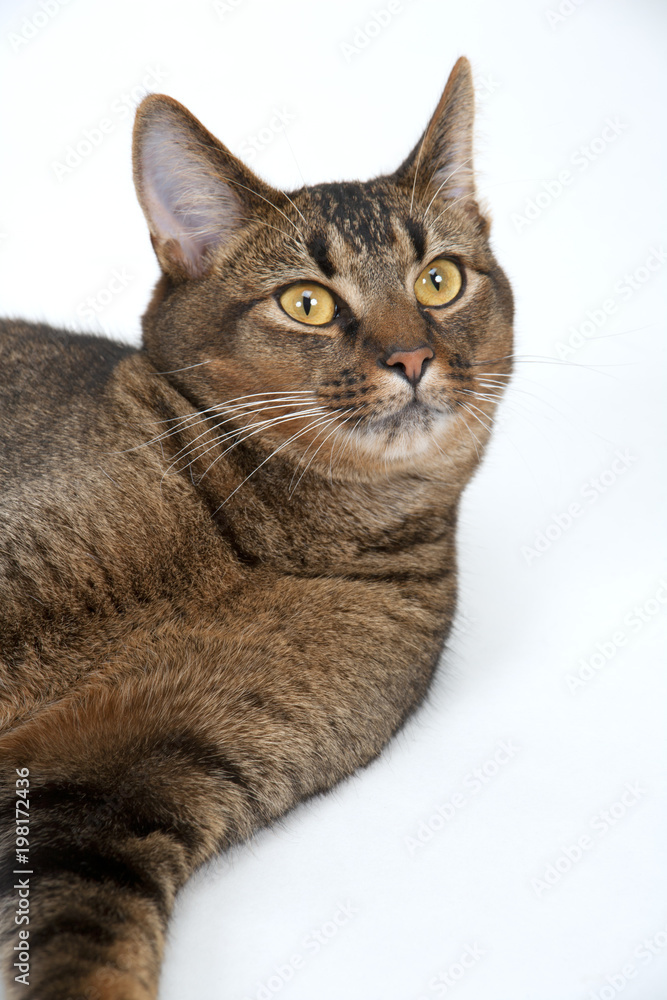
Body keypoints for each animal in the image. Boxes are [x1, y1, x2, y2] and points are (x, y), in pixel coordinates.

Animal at [0, 58, 516, 996]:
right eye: (306, 301)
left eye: (439, 280)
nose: (411, 357)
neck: (265, 546)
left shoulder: (125, 777)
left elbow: (94, 947)